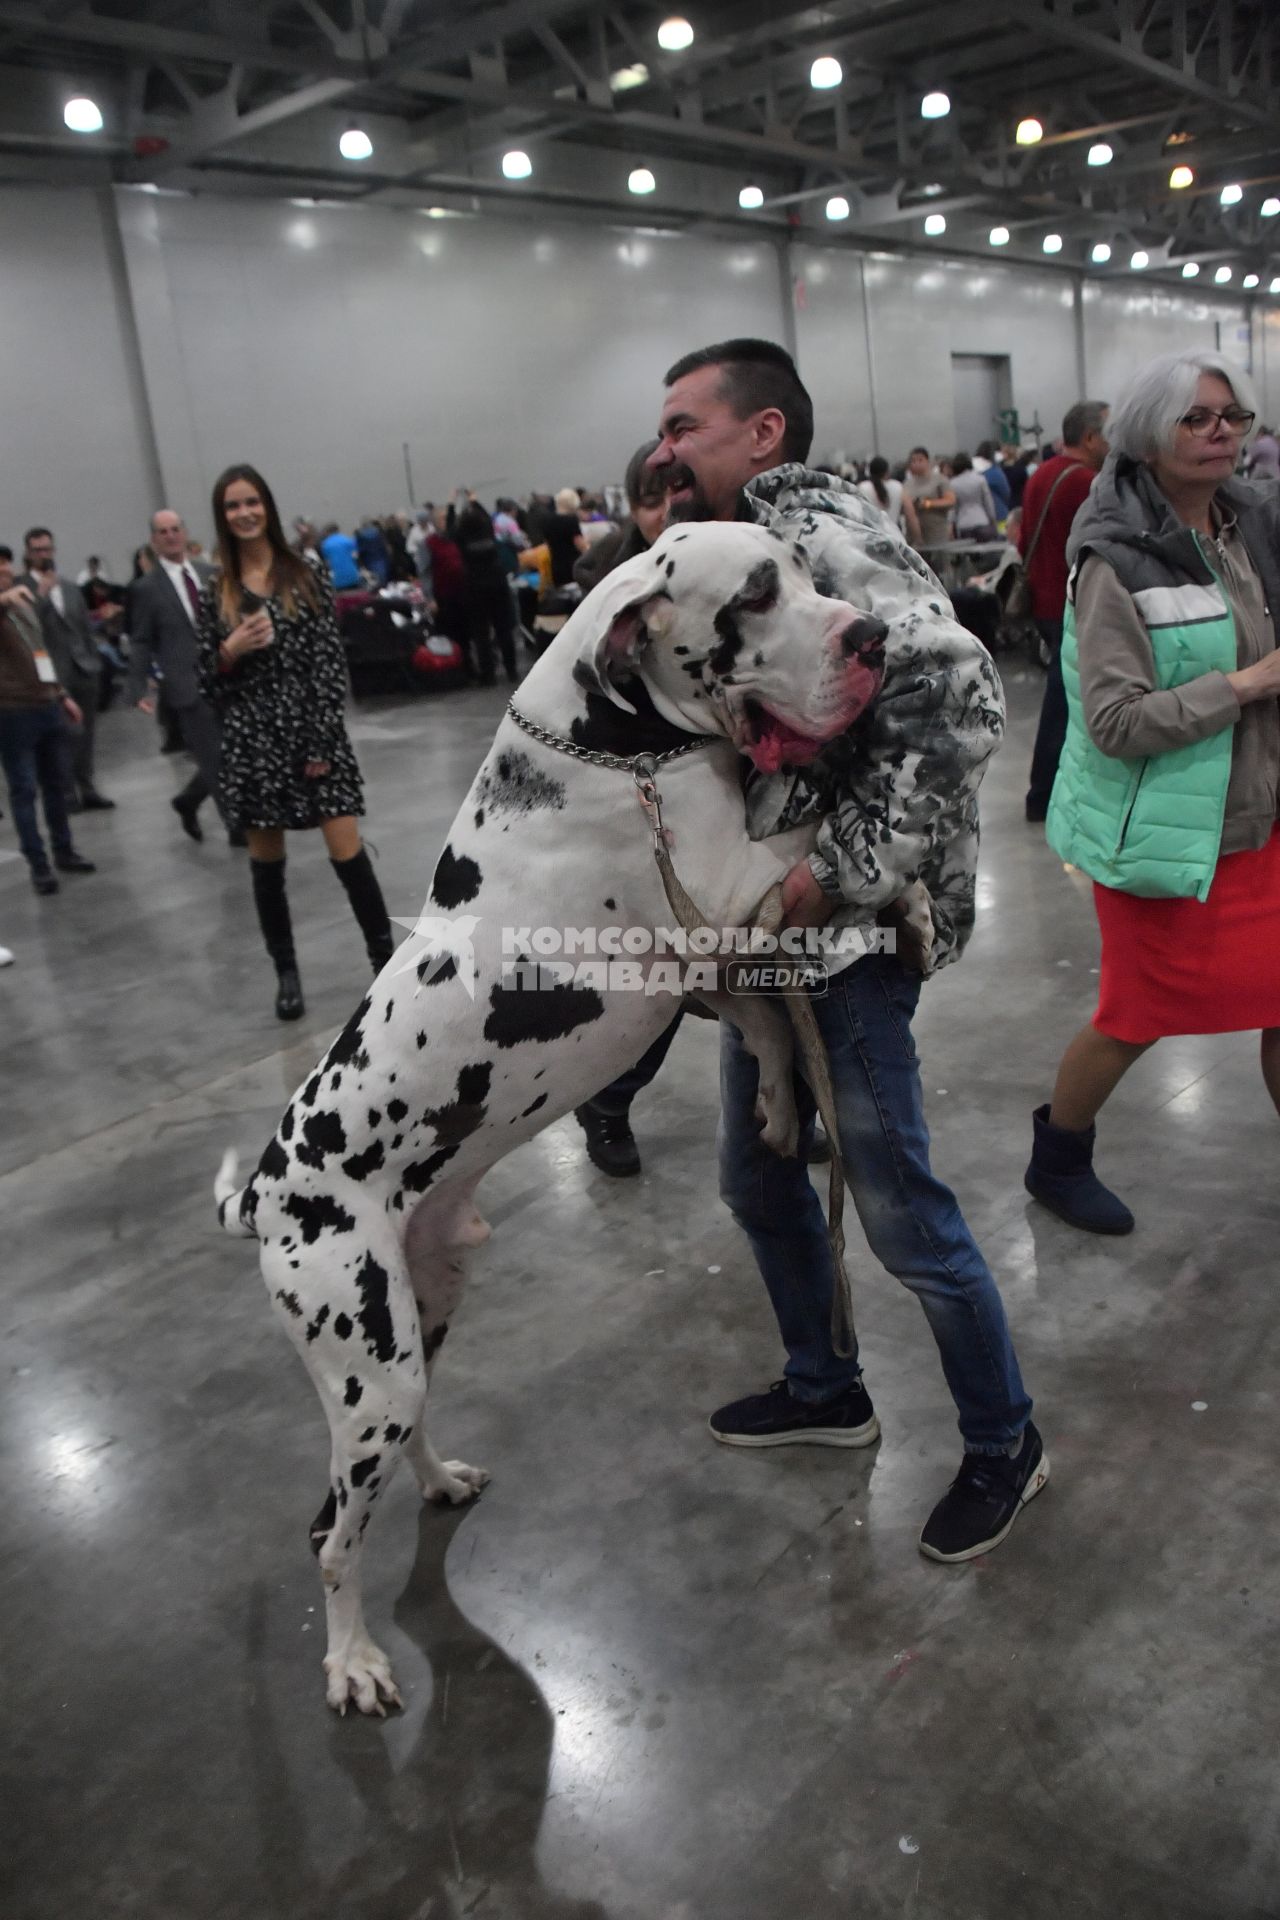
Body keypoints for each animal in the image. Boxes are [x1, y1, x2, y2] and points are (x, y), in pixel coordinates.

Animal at [214, 518, 886, 1720]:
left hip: (418, 1320)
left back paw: (439, 1481)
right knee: (330, 1536)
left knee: (397, 1449)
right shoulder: (724, 900)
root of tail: (266, 1193)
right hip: (365, 1359)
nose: (872, 637)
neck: (617, 747)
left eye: (807, 572)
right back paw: (352, 1662)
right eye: (756, 595)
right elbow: (803, 860)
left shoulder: (706, 962)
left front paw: (775, 1095)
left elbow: (767, 1017)